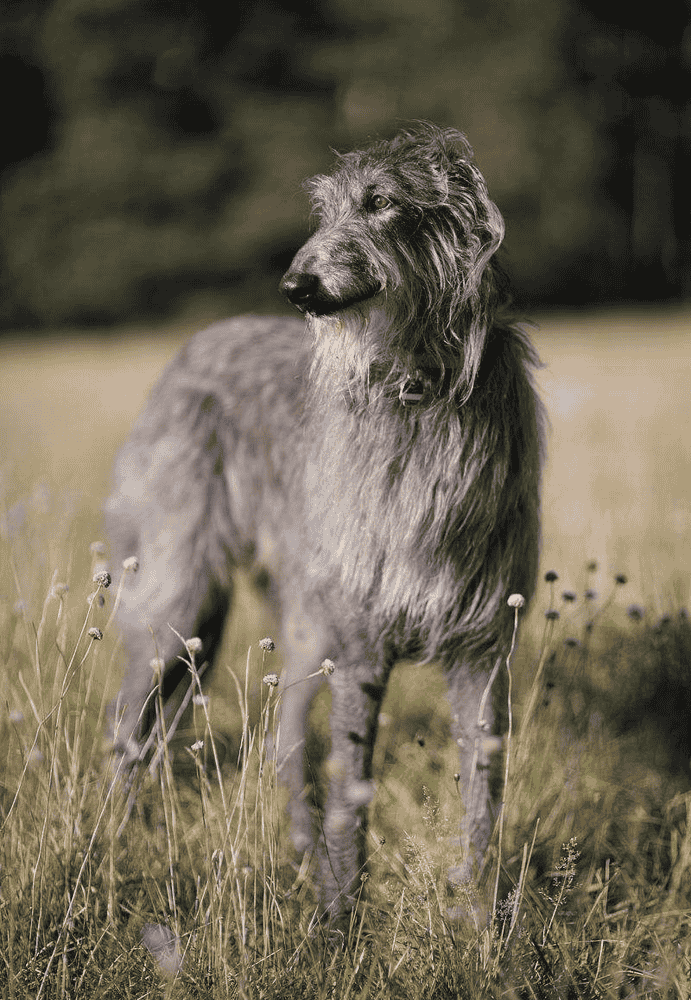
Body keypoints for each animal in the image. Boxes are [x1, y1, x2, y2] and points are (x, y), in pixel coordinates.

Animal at [107, 123, 548, 920]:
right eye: (326, 210)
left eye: (382, 204)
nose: (296, 287)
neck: (414, 388)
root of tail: (195, 342)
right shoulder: (362, 643)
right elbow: (353, 786)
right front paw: (343, 916)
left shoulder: (483, 647)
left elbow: (484, 791)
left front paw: (482, 919)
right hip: (184, 601)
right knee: (130, 725)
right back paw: (112, 843)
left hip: (298, 619)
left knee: (282, 739)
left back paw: (299, 850)